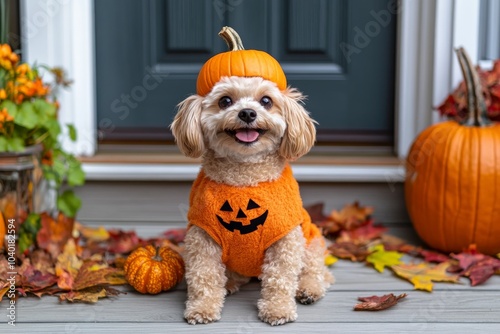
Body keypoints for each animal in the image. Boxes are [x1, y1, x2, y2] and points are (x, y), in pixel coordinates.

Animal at [170, 76, 334, 326]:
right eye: (225, 101)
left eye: (266, 101)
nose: (247, 113)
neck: (245, 178)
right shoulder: (202, 238)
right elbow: (204, 276)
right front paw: (202, 308)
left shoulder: (286, 240)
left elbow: (280, 278)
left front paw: (278, 309)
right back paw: (229, 282)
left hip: (311, 241)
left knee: (316, 271)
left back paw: (309, 289)